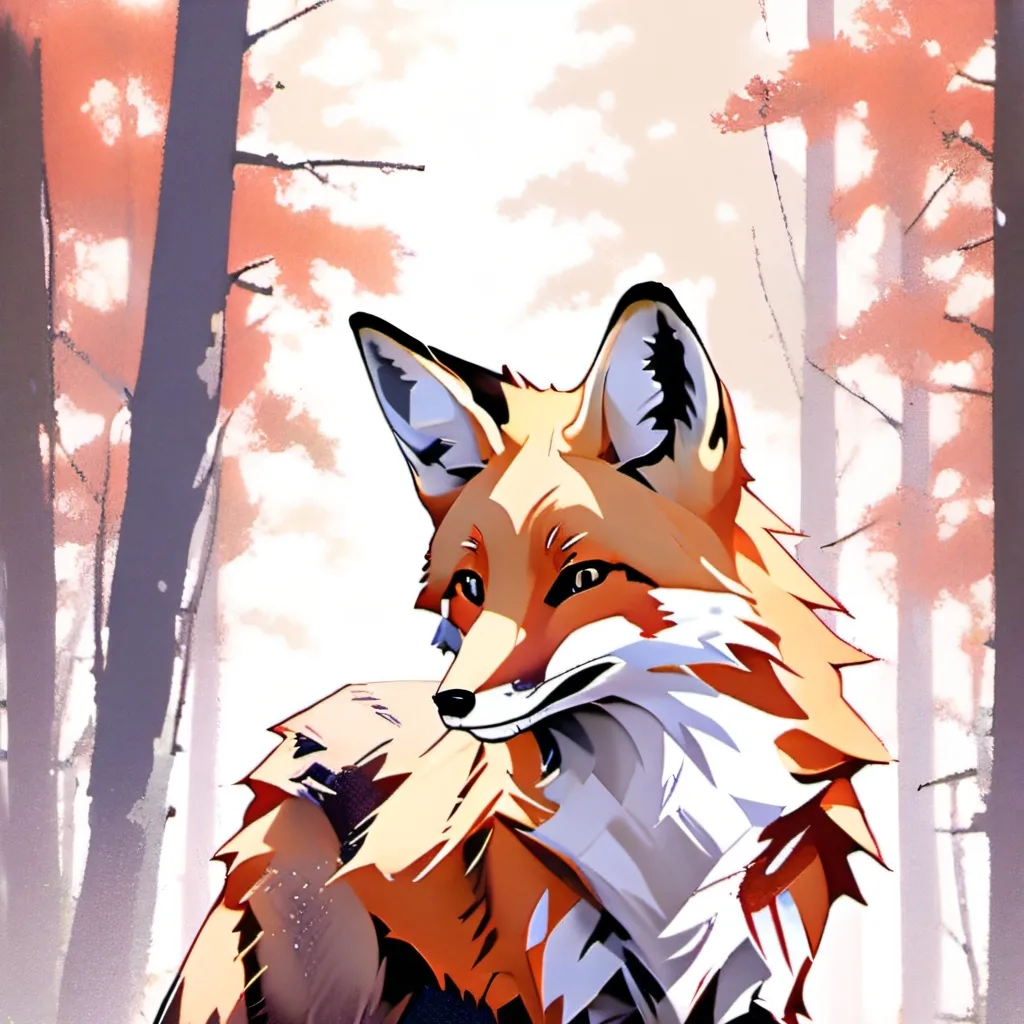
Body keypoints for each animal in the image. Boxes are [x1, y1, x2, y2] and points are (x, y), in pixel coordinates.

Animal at [155, 282, 891, 1024]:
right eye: (471, 587)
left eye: (584, 577)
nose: (451, 702)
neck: (670, 825)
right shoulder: (565, 985)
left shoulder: (749, 980)